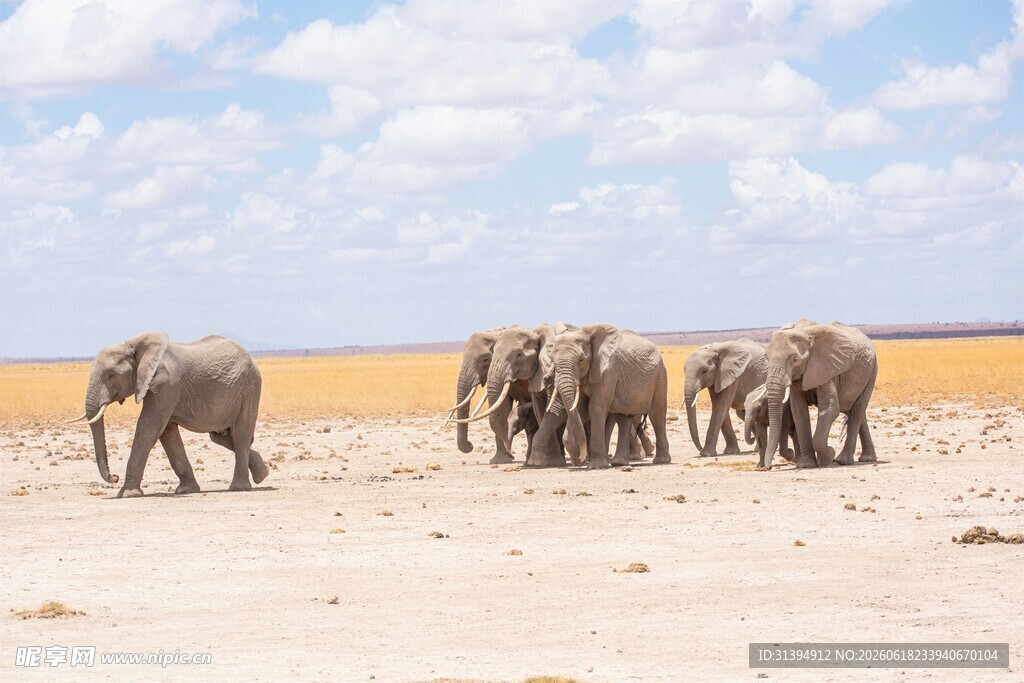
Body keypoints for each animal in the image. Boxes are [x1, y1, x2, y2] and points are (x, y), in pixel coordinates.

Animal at [66, 332, 268, 498]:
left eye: (111, 375)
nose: (113, 476)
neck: (133, 346)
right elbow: (167, 433)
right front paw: (186, 490)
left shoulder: (166, 385)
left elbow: (148, 428)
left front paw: (127, 494)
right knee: (221, 437)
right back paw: (263, 473)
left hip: (249, 387)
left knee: (240, 434)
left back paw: (239, 488)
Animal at [548, 323, 670, 469]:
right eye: (552, 361)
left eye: (581, 360)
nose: (580, 458)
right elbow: (579, 408)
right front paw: (578, 459)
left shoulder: (608, 370)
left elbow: (595, 408)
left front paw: (596, 466)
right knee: (623, 419)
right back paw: (619, 462)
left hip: (660, 375)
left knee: (657, 415)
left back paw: (661, 461)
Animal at [761, 320, 878, 469]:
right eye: (766, 358)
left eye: (795, 359)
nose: (768, 467)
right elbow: (799, 412)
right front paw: (806, 465)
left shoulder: (827, 369)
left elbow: (830, 408)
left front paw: (828, 456)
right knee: (856, 412)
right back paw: (867, 458)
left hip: (872, 373)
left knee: (857, 410)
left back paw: (843, 461)